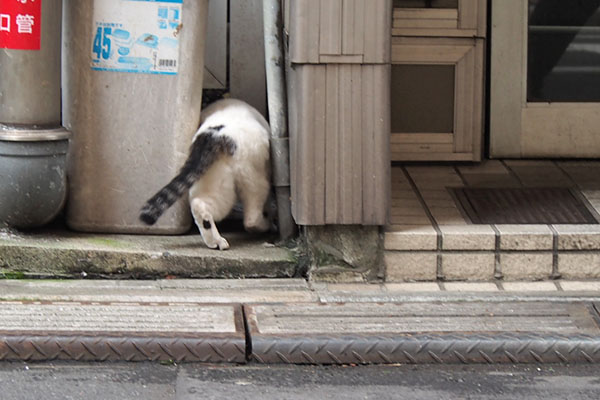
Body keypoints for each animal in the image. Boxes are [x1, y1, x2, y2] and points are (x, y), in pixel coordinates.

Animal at [139, 99, 270, 250]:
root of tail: (214, 136)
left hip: (215, 181)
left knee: (199, 204)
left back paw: (215, 241)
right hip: (253, 177)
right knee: (251, 216)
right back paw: (262, 226)